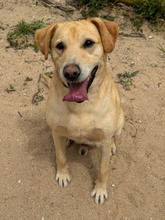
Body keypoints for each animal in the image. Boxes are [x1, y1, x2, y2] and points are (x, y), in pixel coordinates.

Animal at [35, 17, 124, 205]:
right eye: (60, 45)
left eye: (88, 43)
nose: (71, 72)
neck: (80, 106)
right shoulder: (56, 132)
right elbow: (60, 157)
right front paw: (63, 174)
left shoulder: (104, 141)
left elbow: (103, 170)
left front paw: (100, 190)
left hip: (120, 121)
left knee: (113, 137)